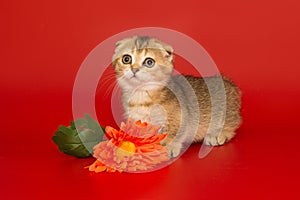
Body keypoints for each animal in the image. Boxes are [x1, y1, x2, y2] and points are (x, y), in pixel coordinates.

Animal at [112, 36, 241, 158]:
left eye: (149, 62)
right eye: (126, 59)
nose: (134, 69)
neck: (141, 95)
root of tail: (227, 82)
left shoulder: (181, 117)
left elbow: (175, 133)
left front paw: (169, 147)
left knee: (232, 125)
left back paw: (217, 134)